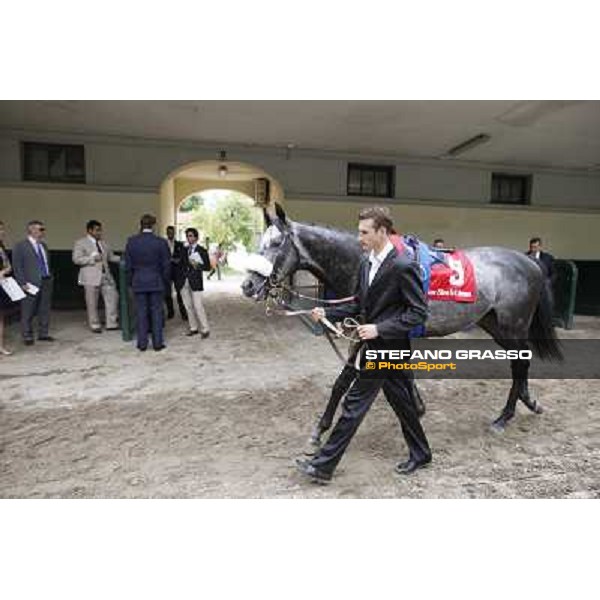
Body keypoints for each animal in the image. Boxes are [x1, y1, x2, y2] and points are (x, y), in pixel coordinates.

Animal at [241, 206, 560, 440]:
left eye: (276, 243)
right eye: (260, 242)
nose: (248, 285)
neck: (367, 263)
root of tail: (530, 263)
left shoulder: (370, 332)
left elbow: (345, 379)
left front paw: (321, 428)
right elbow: (399, 373)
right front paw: (417, 406)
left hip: (513, 324)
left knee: (520, 362)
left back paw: (504, 416)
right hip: (494, 323)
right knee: (519, 362)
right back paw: (528, 402)